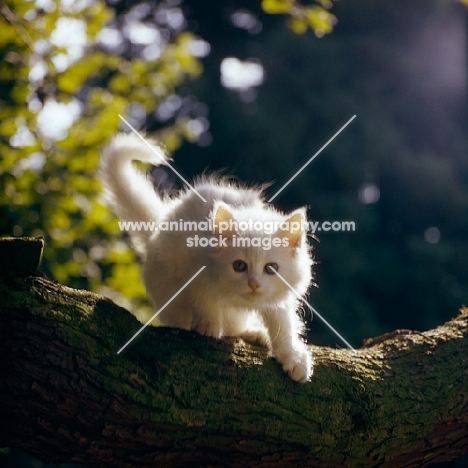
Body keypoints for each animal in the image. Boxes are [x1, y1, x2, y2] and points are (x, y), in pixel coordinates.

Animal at [102, 133, 314, 382]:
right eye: (239, 265)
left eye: (271, 268)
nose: (253, 284)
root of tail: (157, 231)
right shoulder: (193, 270)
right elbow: (206, 300)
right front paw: (209, 325)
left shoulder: (279, 299)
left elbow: (284, 326)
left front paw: (294, 357)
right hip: (167, 287)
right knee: (181, 316)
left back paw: (254, 333)